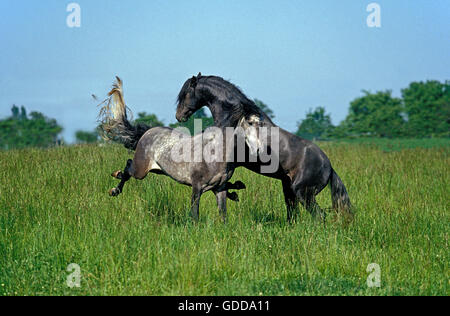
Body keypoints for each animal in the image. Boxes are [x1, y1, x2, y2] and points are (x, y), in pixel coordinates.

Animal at [99, 78, 260, 223]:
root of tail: (148, 131)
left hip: (158, 170)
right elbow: (194, 214)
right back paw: (115, 187)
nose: (258, 147)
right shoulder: (197, 187)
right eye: (250, 123)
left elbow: (223, 214)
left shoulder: (219, 188)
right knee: (128, 167)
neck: (216, 152)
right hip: (140, 170)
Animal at [176, 74, 352, 222]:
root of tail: (328, 166)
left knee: (319, 216)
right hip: (289, 188)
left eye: (185, 93)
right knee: (293, 213)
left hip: (303, 192)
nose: (179, 116)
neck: (235, 116)